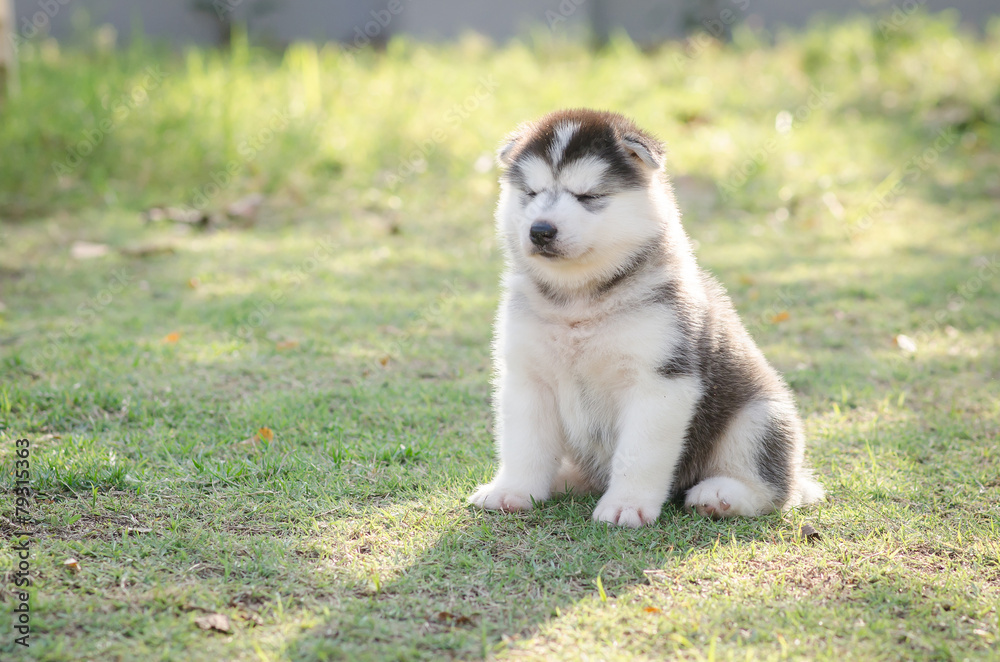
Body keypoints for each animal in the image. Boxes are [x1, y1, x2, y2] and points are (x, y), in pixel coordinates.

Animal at [466, 109, 820, 528]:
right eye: (531, 194)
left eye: (589, 196)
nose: (540, 230)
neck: (578, 302)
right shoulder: (526, 377)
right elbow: (524, 444)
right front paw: (513, 491)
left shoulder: (661, 380)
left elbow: (638, 454)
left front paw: (626, 504)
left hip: (761, 417)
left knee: (773, 489)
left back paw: (722, 495)